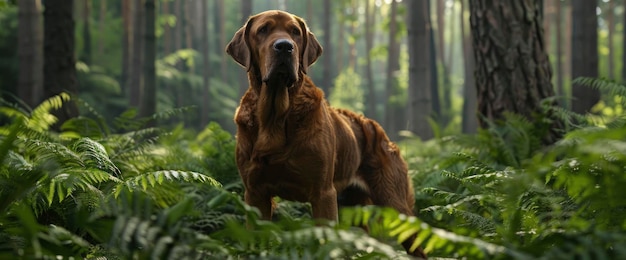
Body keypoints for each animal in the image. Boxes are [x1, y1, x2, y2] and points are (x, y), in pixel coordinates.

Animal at [224, 10, 424, 258]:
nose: (284, 47)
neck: (276, 117)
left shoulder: (323, 194)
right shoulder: (255, 193)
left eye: (295, 32)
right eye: (263, 30)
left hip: (394, 204)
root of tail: (379, 131)